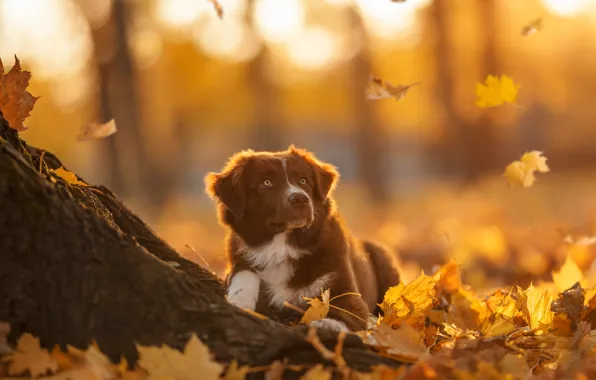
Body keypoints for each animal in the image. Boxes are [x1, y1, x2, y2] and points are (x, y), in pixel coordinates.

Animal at [205, 147, 400, 332]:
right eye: (266, 182)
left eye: (303, 180)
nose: (300, 199)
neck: (283, 245)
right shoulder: (239, 256)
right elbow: (244, 271)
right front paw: (239, 299)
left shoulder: (341, 284)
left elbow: (348, 311)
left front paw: (328, 325)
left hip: (382, 258)